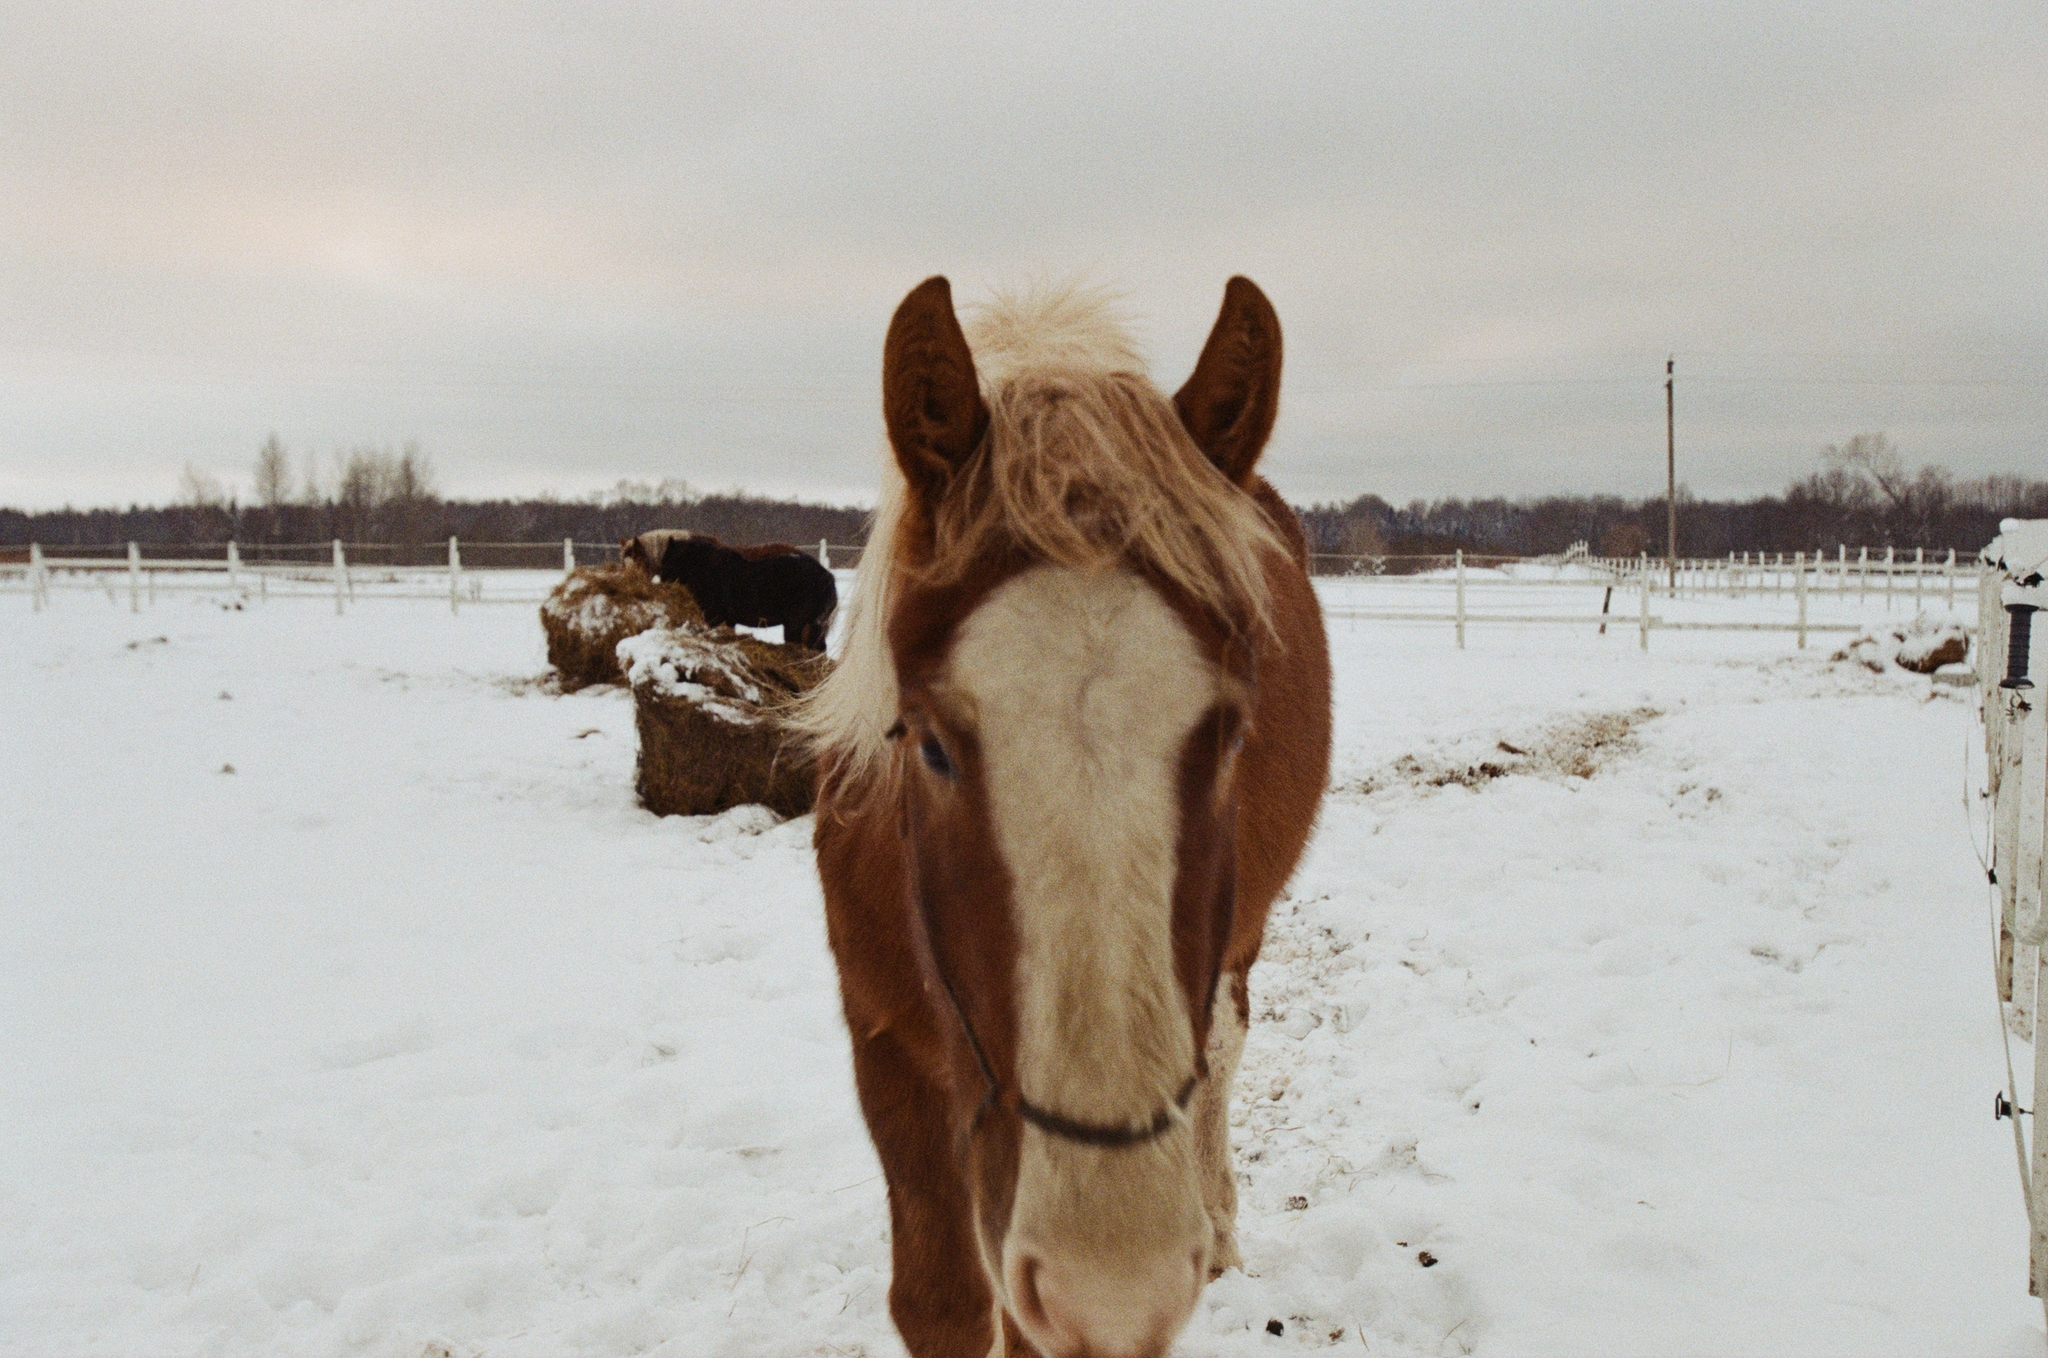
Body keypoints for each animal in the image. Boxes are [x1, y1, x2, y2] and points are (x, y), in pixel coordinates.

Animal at [614, 532, 831, 655]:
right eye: (622, 560)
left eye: (638, 559)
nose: (628, 580)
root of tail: (825, 574)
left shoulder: (715, 617)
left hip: (797, 626)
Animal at [798, 278, 1327, 1358]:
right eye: (929, 743)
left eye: (1231, 734)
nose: (1114, 1281)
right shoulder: (886, 1045)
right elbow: (942, 1300)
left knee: (1223, 1045)